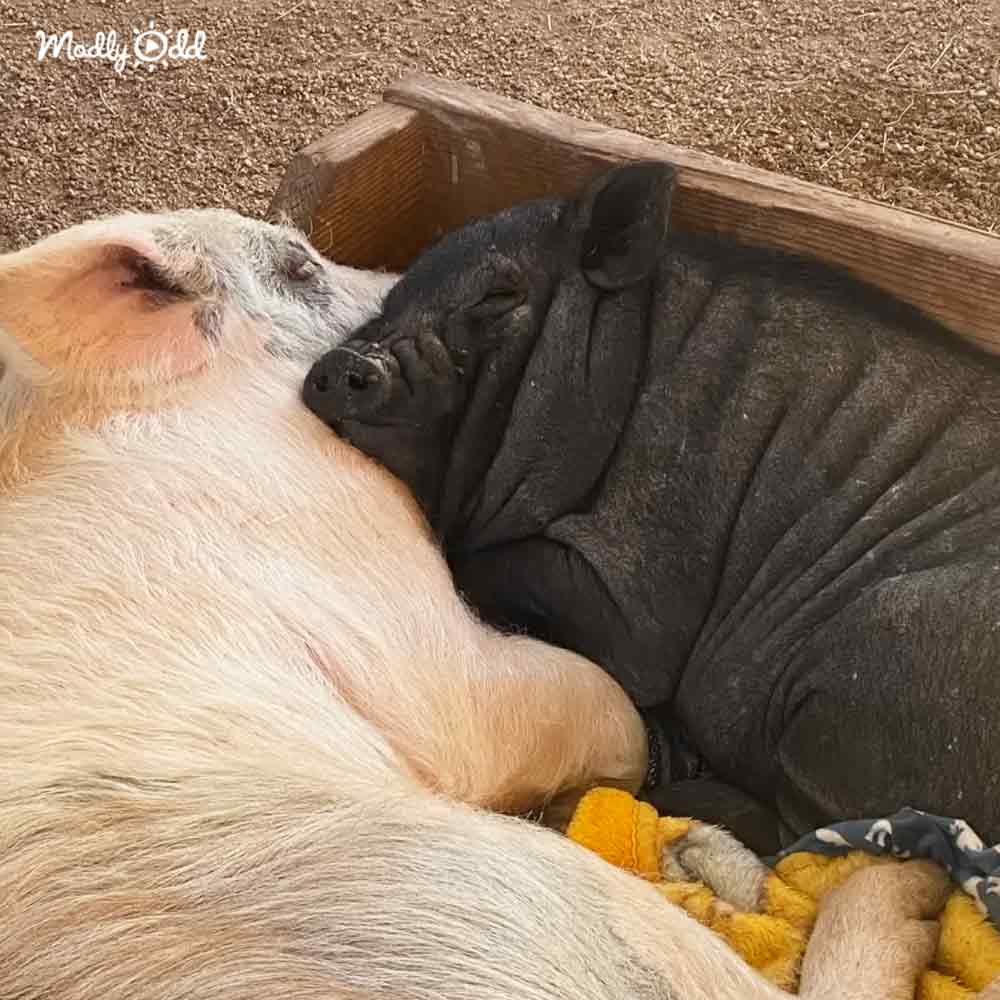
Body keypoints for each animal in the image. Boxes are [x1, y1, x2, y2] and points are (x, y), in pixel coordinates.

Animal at [304, 159, 1000, 856]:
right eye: (388, 304)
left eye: (497, 296)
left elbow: (500, 565)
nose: (345, 363)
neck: (616, 375)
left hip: (879, 646)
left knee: (802, 834)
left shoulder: (649, 572)